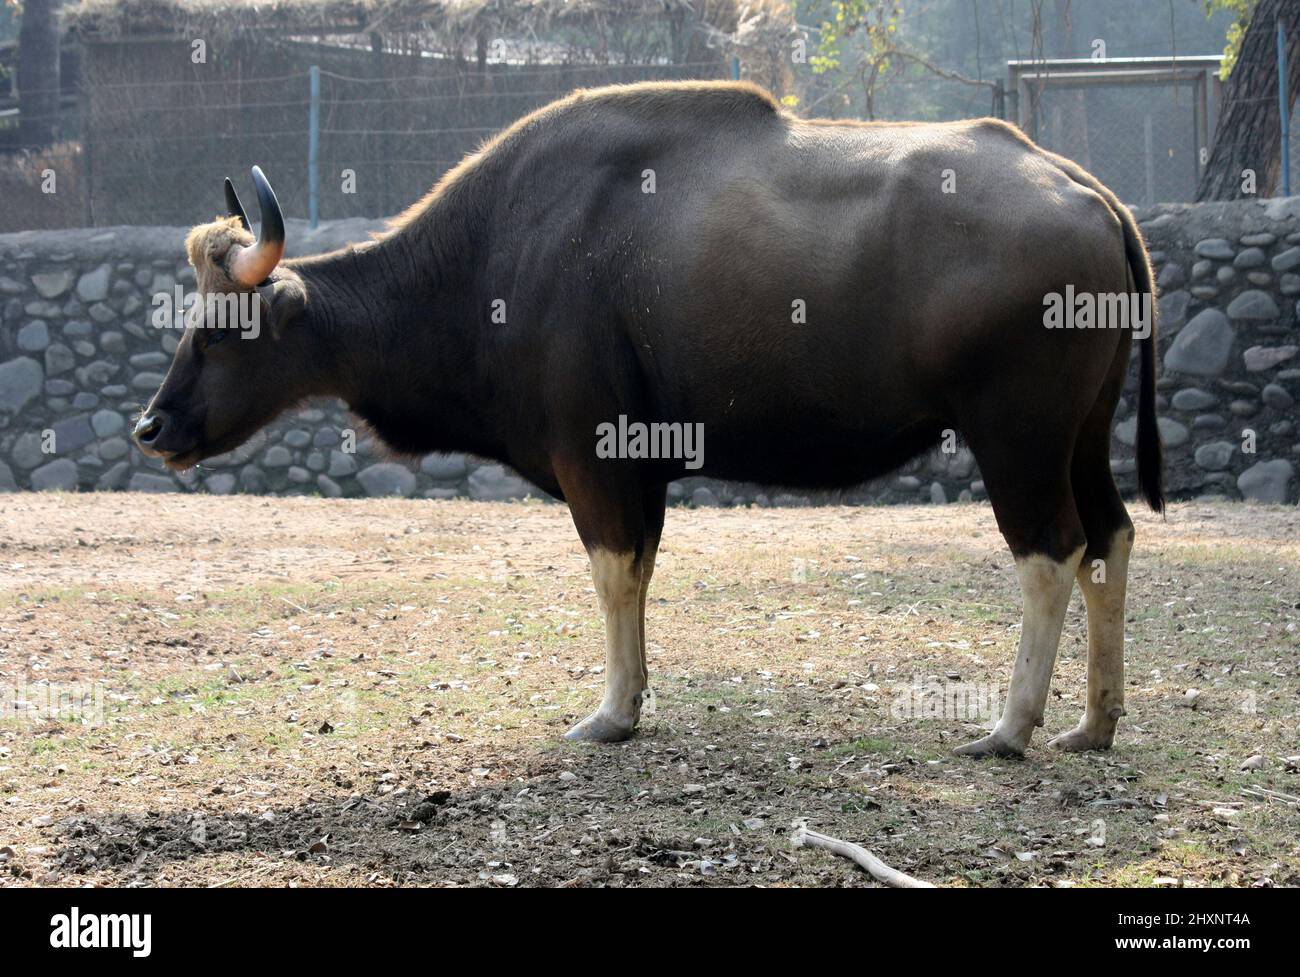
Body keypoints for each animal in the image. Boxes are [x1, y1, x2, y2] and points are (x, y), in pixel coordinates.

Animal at [137, 82, 1164, 753]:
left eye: (223, 330)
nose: (153, 428)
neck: (494, 258)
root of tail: (1088, 191)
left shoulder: (593, 456)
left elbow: (609, 572)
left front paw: (609, 713)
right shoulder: (645, 469)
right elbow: (640, 571)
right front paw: (632, 700)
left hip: (1017, 435)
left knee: (1052, 550)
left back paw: (1011, 726)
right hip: (1082, 433)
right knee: (1111, 537)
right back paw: (1093, 722)